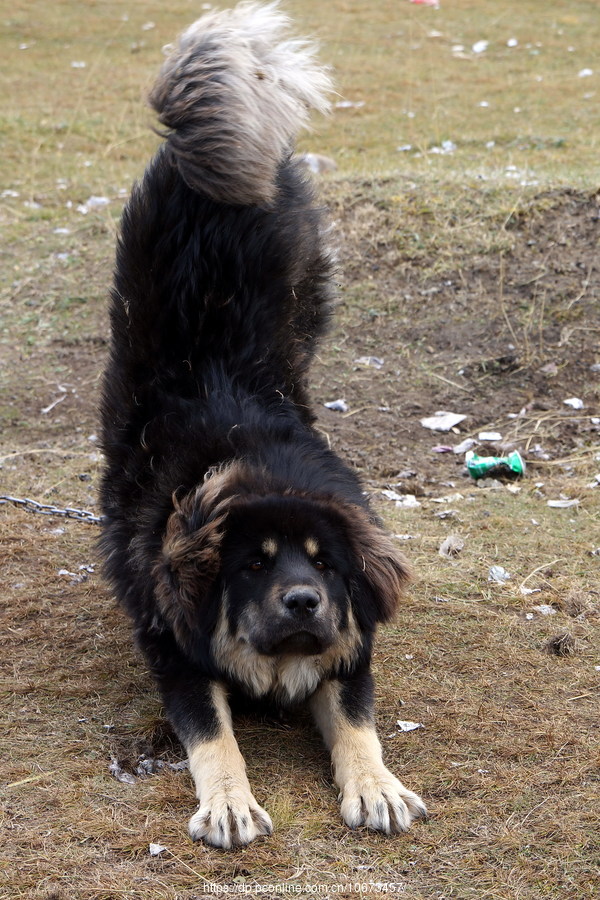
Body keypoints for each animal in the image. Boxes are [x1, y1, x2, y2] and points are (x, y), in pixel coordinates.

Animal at [99, 0, 426, 848]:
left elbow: (359, 726)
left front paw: (377, 785)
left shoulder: (349, 648)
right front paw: (230, 802)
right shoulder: (178, 654)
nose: (304, 602)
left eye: (323, 566)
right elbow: (213, 736)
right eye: (253, 564)